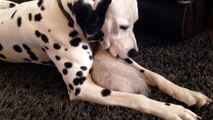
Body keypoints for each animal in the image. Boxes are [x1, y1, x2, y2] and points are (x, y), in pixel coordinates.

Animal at [0, 0, 211, 120]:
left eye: (135, 23)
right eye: (123, 26)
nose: (134, 52)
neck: (63, 17)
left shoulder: (120, 57)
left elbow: (155, 75)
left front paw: (187, 93)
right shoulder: (81, 88)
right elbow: (136, 98)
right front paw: (173, 110)